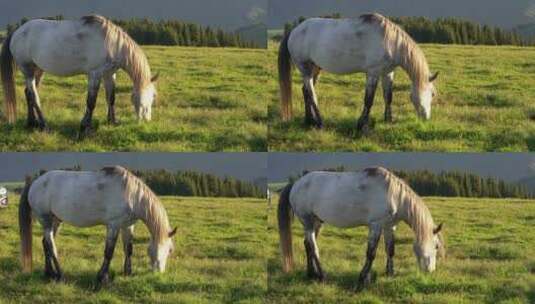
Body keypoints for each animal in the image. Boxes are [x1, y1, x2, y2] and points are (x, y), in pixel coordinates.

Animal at [1, 15, 158, 137]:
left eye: (153, 96)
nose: (147, 120)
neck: (111, 43)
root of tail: (17, 31)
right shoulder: (95, 74)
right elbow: (91, 102)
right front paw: (85, 128)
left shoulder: (109, 74)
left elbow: (111, 98)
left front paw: (112, 121)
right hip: (27, 70)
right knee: (34, 96)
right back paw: (44, 125)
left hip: (38, 70)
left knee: (28, 93)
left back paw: (32, 123)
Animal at [18, 165, 178, 286]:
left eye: (170, 250)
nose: (159, 274)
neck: (132, 195)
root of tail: (36, 181)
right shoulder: (113, 225)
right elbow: (109, 252)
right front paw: (102, 278)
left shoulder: (127, 226)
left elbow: (128, 249)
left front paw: (127, 272)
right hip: (45, 220)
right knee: (51, 246)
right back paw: (60, 275)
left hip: (55, 220)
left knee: (45, 243)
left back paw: (49, 273)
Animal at [278, 13, 438, 132]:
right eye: (432, 94)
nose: (426, 118)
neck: (389, 41)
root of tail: (294, 30)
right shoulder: (373, 73)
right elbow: (369, 99)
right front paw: (362, 125)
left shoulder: (387, 73)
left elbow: (388, 97)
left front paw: (388, 120)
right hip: (305, 68)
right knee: (311, 93)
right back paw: (319, 122)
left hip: (315, 68)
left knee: (305, 91)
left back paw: (309, 121)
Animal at [278, 166, 446, 290]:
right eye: (436, 246)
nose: (431, 271)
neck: (394, 195)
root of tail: (296, 183)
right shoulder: (376, 225)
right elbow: (371, 253)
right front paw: (362, 279)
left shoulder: (389, 227)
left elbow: (390, 250)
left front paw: (390, 273)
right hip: (307, 221)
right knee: (313, 248)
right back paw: (321, 276)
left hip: (316, 222)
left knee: (307, 245)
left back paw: (310, 274)